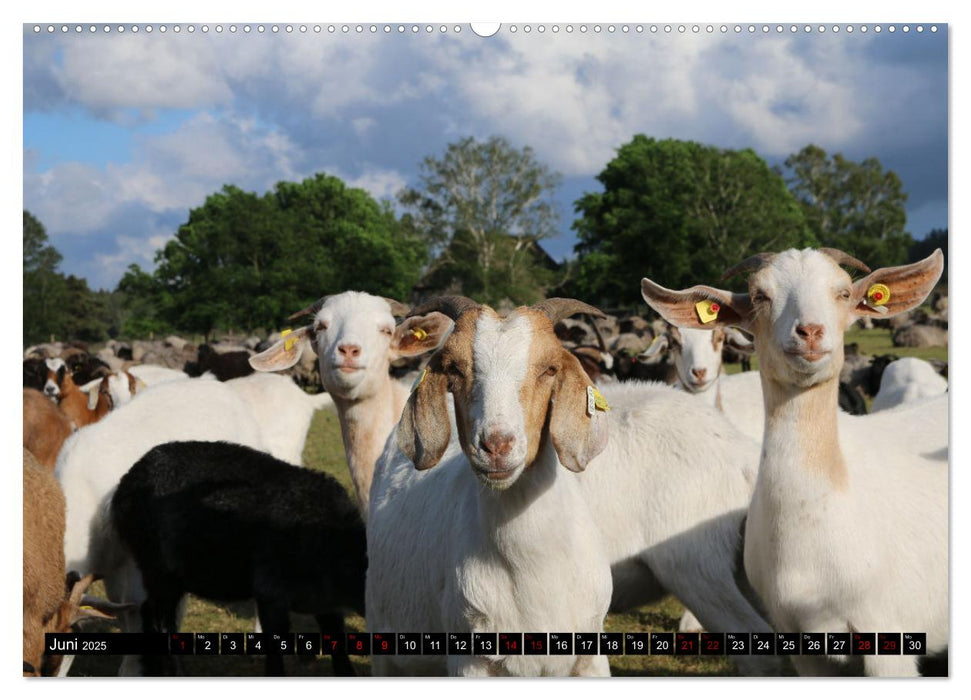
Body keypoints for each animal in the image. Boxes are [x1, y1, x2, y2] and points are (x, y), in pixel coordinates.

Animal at [111, 440, 368, 676]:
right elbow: (275, 651)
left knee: (149, 612)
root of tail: (129, 478)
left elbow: (337, 642)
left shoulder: (326, 602)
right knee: (161, 621)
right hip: (157, 568)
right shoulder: (270, 592)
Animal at [368, 296, 612, 680]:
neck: (534, 569)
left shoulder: (592, 655)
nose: (496, 445)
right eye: (453, 368)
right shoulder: (469, 661)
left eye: (550, 369)